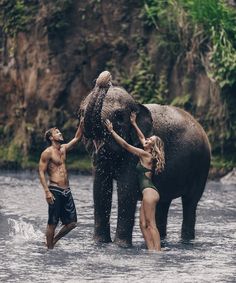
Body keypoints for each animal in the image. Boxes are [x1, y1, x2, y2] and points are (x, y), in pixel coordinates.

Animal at [79, 71, 210, 248]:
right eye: (81, 112)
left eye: (119, 117)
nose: (104, 78)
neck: (137, 103)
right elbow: (100, 187)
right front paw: (100, 244)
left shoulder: (135, 152)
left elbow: (126, 189)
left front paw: (121, 246)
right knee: (163, 203)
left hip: (202, 166)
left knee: (190, 202)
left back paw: (186, 242)